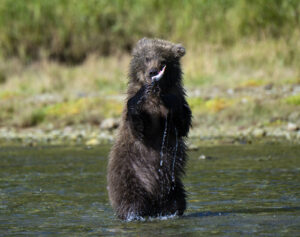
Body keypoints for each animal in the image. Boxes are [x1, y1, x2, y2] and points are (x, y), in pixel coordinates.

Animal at [108, 37, 191, 220]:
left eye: (163, 61)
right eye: (147, 58)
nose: (153, 72)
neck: (156, 93)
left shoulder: (178, 98)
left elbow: (182, 124)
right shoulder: (140, 113)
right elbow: (139, 128)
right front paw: (141, 93)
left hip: (173, 184)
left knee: (178, 201)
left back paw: (172, 210)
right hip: (128, 174)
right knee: (131, 200)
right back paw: (133, 213)